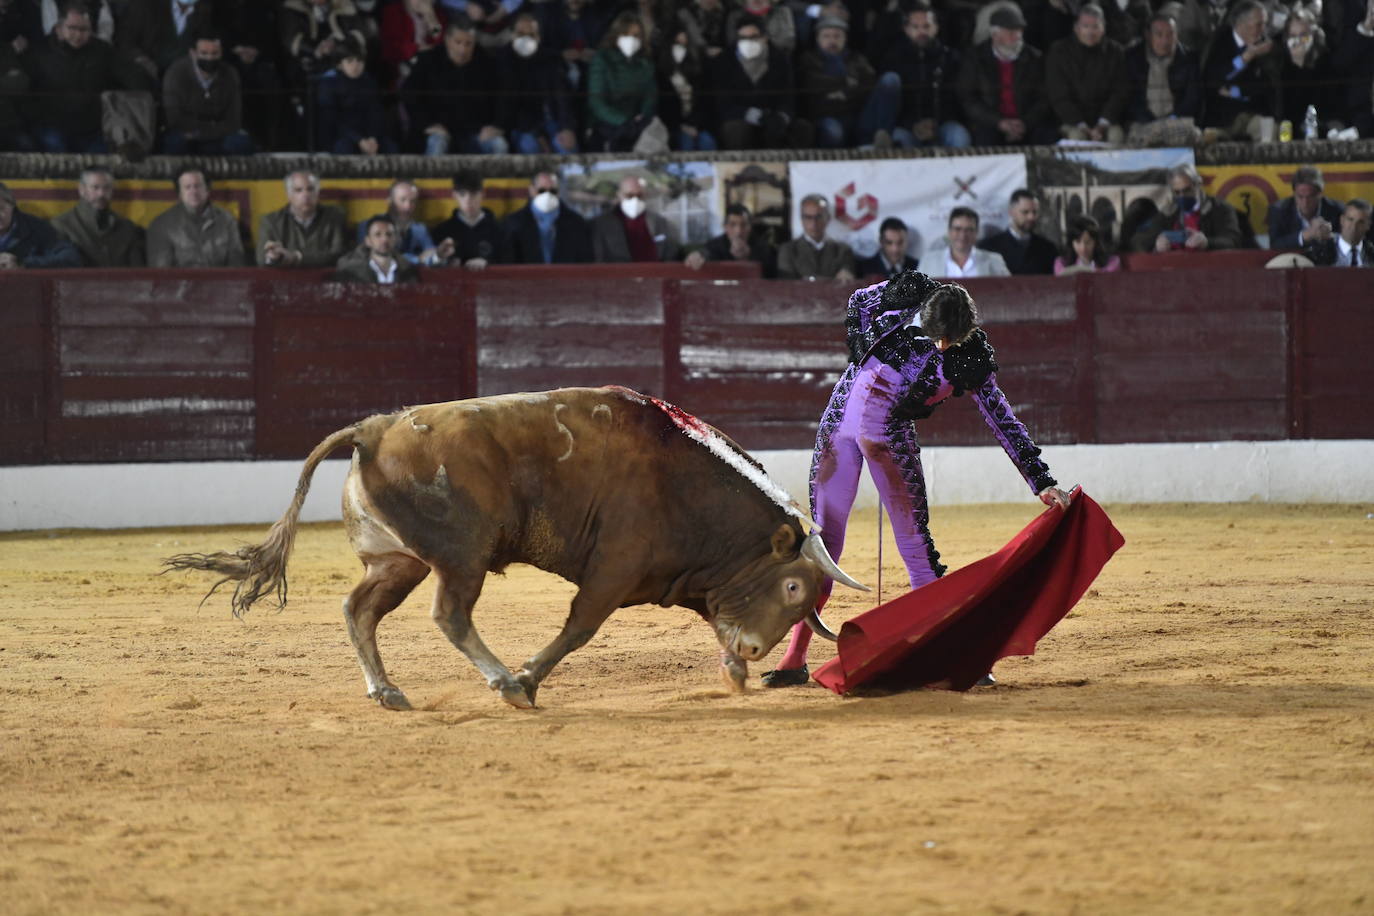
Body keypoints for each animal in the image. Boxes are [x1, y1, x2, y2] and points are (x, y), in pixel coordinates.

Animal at [166, 387, 862, 708]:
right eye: (793, 586)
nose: (756, 649)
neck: (684, 483)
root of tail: (374, 428)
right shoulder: (614, 570)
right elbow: (579, 628)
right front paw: (527, 678)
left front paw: (735, 670)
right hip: (460, 559)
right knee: (449, 614)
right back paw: (503, 681)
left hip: (399, 561)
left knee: (358, 609)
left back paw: (387, 692)